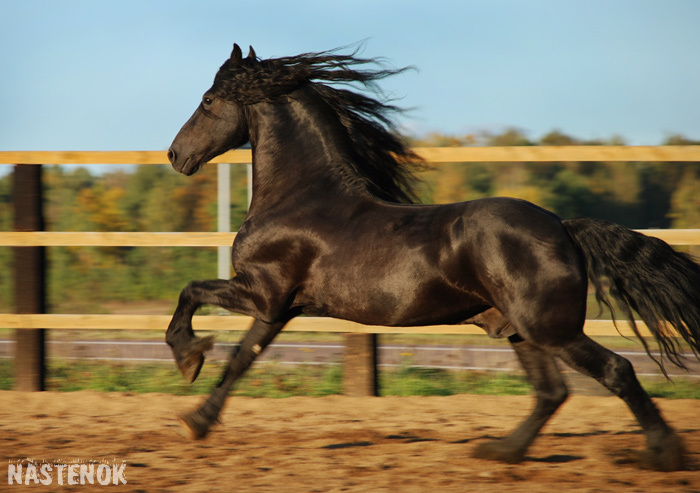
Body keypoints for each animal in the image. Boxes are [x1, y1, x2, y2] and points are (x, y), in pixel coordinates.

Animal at [166, 43, 700, 471]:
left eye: (209, 100)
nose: (174, 155)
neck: (301, 197)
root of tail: (563, 227)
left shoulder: (262, 293)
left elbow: (192, 295)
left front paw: (189, 358)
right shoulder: (278, 309)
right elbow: (241, 360)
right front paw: (196, 420)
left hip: (551, 328)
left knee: (616, 371)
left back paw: (662, 455)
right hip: (520, 329)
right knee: (552, 392)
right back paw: (501, 451)